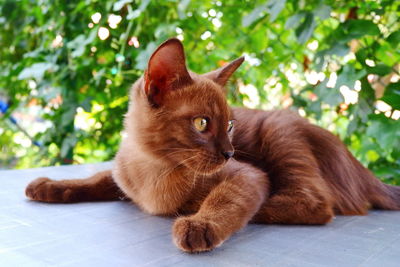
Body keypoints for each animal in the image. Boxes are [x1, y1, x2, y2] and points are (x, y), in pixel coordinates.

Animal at [25, 37, 400, 253]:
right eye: (202, 123)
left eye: (230, 125)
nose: (230, 152)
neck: (151, 171)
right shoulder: (121, 176)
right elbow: (97, 179)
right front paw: (49, 186)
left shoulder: (247, 175)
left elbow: (226, 198)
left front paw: (199, 223)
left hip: (279, 131)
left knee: (315, 205)